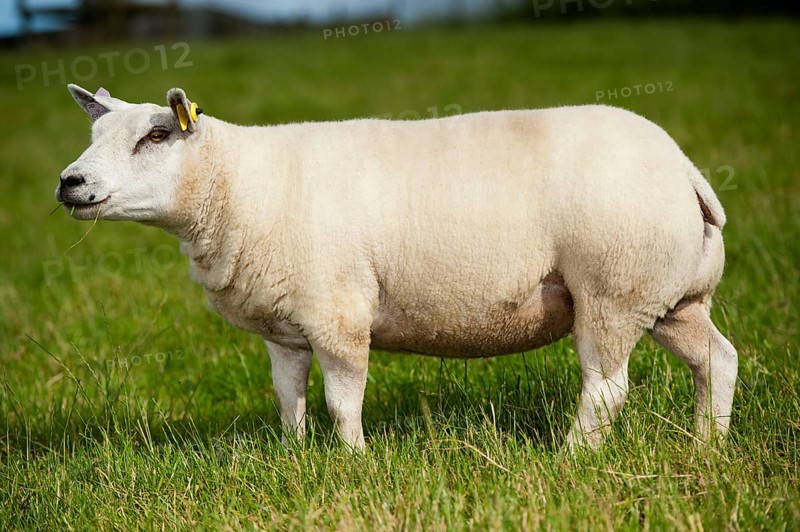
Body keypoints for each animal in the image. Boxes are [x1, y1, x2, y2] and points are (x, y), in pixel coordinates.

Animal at [57, 84, 738, 451]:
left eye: (156, 137)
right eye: (95, 135)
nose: (70, 183)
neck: (243, 184)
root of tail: (685, 169)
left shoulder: (337, 313)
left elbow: (341, 402)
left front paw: (352, 464)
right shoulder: (285, 327)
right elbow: (287, 398)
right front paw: (294, 456)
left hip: (613, 288)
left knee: (606, 388)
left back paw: (570, 457)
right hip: (672, 298)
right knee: (717, 359)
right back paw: (708, 444)